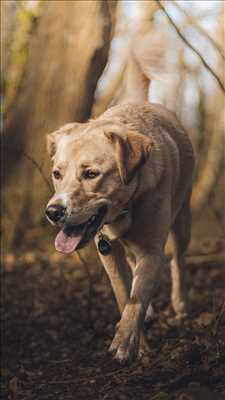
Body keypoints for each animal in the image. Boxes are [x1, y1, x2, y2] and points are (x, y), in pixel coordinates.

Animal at [45, 28, 193, 366]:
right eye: (57, 173)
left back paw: (179, 305)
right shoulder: (108, 252)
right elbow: (125, 294)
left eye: (90, 173)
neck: (127, 206)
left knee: (178, 262)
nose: (54, 212)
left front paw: (125, 343)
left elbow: (138, 296)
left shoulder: (152, 248)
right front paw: (139, 341)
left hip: (183, 221)